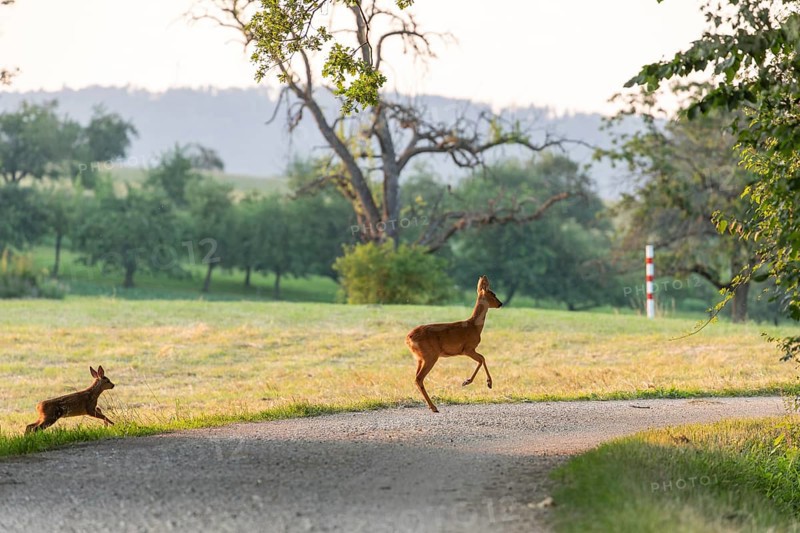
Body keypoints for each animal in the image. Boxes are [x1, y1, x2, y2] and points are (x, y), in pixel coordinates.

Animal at [405, 275, 503, 413]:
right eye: (493, 294)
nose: (500, 303)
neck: (474, 326)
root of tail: (408, 338)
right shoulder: (467, 348)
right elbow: (482, 358)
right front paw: (475, 382)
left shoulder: (468, 350)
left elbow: (482, 358)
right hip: (430, 355)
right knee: (419, 378)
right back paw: (434, 407)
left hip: (420, 358)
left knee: (416, 378)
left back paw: (431, 406)